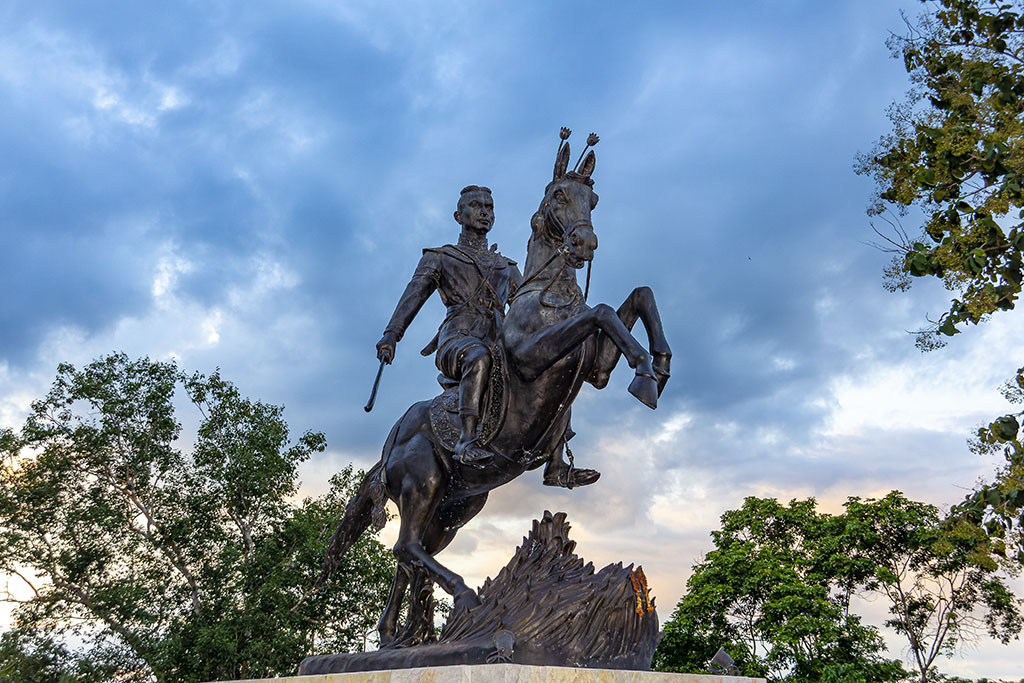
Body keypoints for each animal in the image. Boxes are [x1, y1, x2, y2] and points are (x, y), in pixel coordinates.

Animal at [319, 132, 671, 647]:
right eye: (557, 196)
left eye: (594, 200)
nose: (584, 243)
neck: (549, 293)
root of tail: (391, 439)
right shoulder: (535, 354)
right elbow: (604, 310)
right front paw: (646, 374)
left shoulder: (595, 367)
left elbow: (638, 296)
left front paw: (659, 367)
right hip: (423, 483)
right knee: (406, 546)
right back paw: (460, 598)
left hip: (456, 507)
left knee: (411, 557)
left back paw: (401, 634)